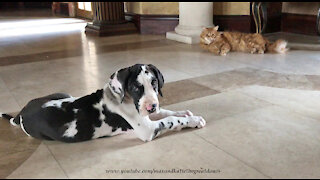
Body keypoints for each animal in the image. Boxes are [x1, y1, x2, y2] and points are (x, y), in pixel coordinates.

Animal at [1, 64, 206, 143]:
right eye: (135, 87)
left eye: (154, 83)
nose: (151, 106)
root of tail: (22, 113)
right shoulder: (147, 130)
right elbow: (169, 120)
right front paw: (194, 120)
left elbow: (166, 112)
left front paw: (185, 113)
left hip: (64, 94)